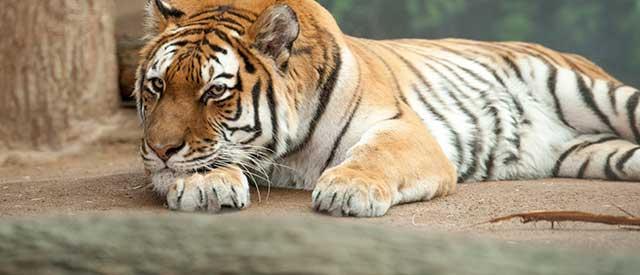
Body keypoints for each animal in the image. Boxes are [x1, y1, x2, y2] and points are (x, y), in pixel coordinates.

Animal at [135, 0, 640, 218]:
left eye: (214, 92)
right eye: (157, 86)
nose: (160, 149)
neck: (286, 153)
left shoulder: (401, 126)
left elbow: (376, 155)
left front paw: (347, 191)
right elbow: (196, 162)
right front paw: (203, 185)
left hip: (600, 94)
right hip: (596, 155)